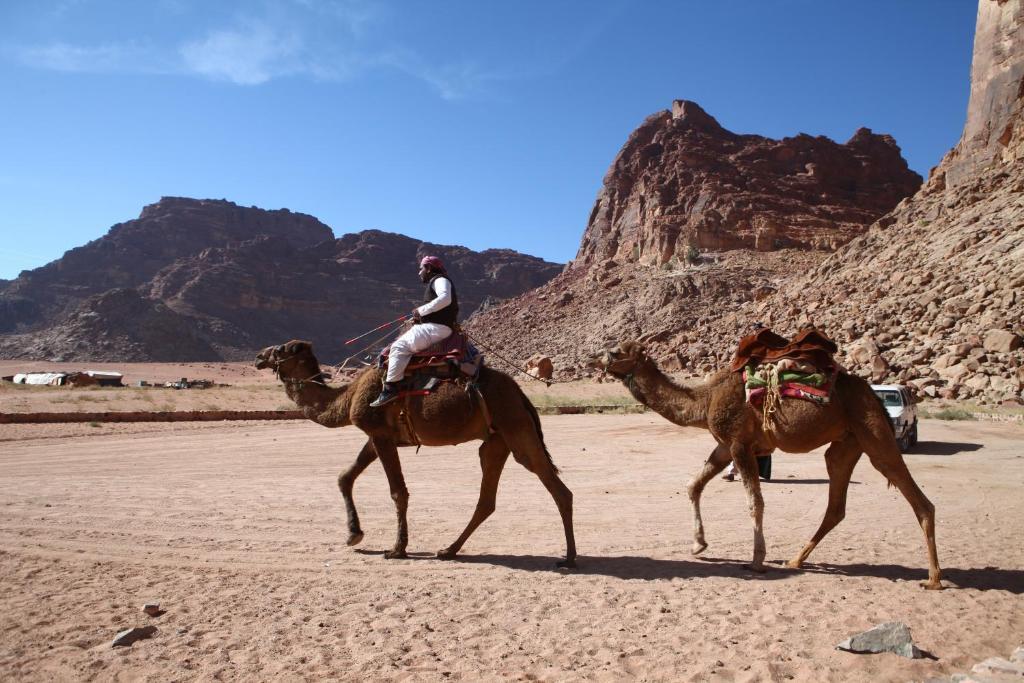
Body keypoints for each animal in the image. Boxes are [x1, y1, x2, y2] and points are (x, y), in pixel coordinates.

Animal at [256, 339, 577, 569]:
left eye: (281, 349)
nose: (259, 356)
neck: (347, 398)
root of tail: (521, 394)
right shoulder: (378, 437)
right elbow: (345, 477)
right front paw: (353, 534)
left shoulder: (379, 434)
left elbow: (398, 491)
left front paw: (397, 549)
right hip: (496, 441)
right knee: (487, 499)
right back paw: (448, 549)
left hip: (516, 427)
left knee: (558, 489)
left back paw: (570, 558)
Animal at [593, 339, 942, 589]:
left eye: (618, 350)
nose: (599, 359)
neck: (705, 400)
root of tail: (873, 394)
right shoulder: (724, 445)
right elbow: (693, 485)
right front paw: (698, 545)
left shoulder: (739, 444)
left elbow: (754, 502)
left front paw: (757, 560)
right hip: (846, 443)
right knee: (836, 504)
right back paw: (795, 561)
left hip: (872, 431)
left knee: (916, 497)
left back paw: (934, 579)